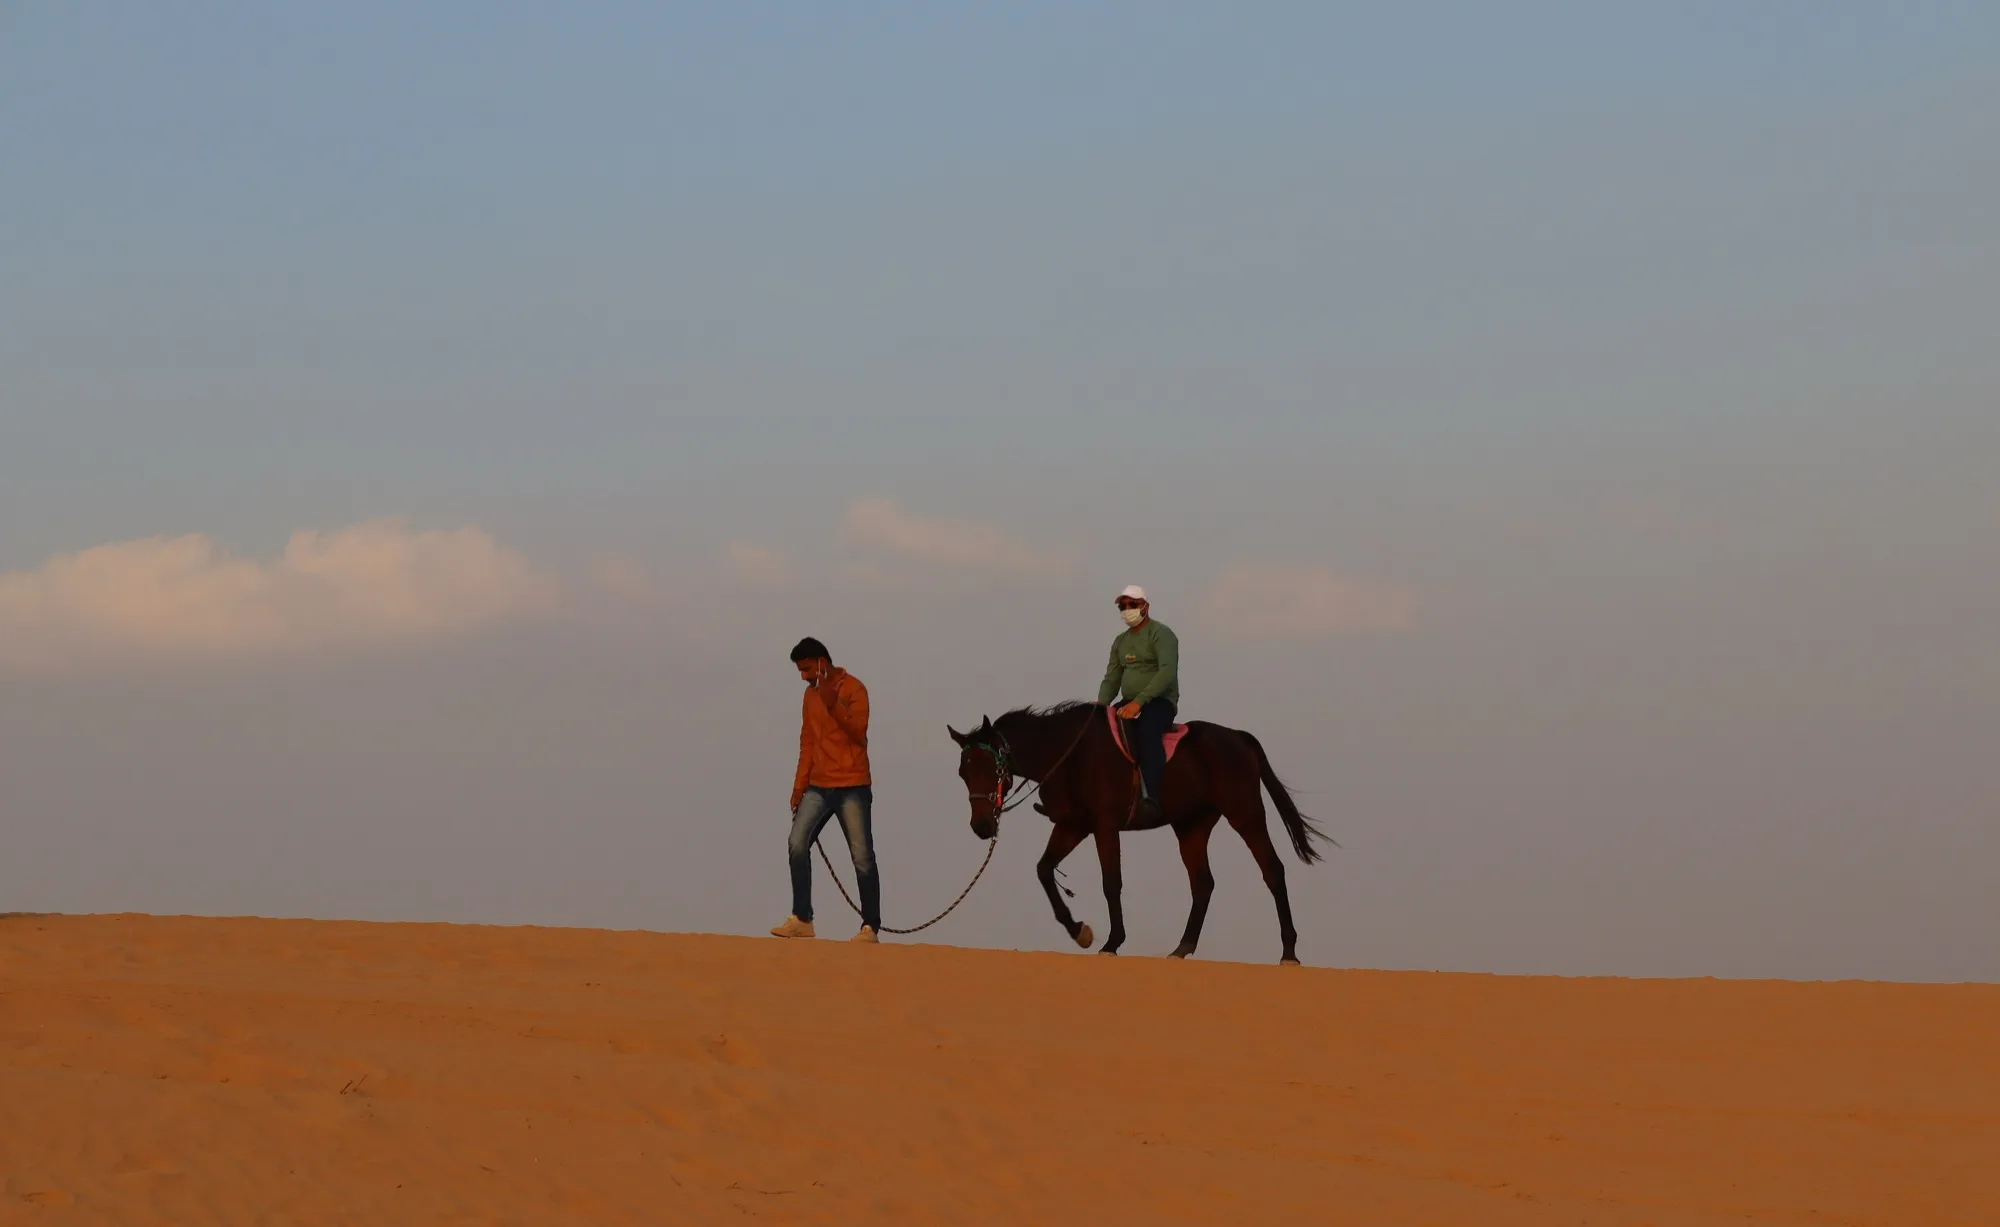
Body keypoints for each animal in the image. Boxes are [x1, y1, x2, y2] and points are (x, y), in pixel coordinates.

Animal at [947, 701, 1331, 965]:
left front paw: (1112, 942)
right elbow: (1044, 870)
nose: (981, 826)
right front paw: (1079, 931)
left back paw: (1289, 952)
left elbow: (1111, 882)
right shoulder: (1074, 826)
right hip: (1191, 826)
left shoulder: (1104, 826)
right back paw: (1182, 948)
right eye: (963, 772)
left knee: (1272, 870)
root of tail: (1239, 738)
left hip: (1246, 814)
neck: (1069, 754)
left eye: (991, 766)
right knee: (1203, 883)